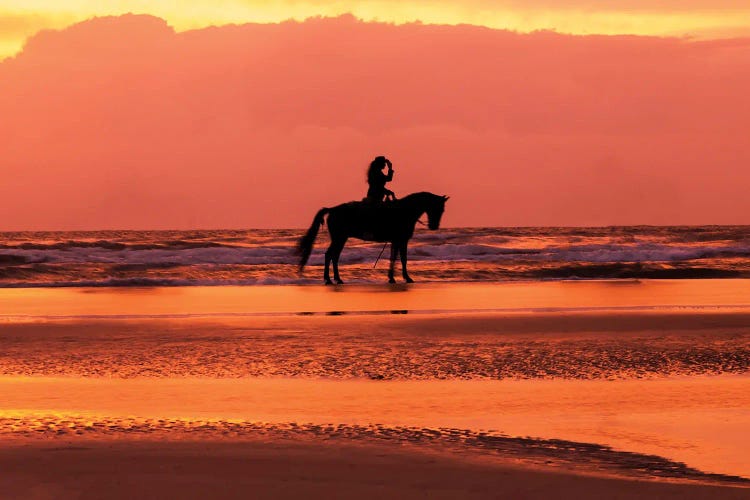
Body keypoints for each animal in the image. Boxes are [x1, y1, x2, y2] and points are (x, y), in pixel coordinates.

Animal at [298, 192, 452, 286]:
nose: (434, 226)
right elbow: (403, 259)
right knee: (330, 255)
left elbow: (394, 258)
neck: (404, 211)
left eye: (443, 210)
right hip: (339, 238)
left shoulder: (395, 241)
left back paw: (336, 279)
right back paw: (329, 279)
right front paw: (407, 278)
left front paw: (392, 278)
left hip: (341, 238)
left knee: (334, 256)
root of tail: (332, 209)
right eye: (438, 208)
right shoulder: (402, 240)